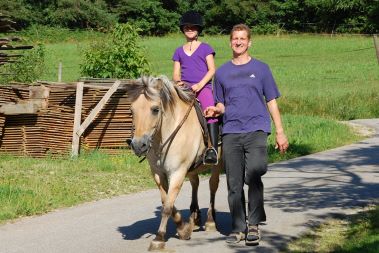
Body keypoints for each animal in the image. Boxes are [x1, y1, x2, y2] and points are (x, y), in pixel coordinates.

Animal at [127, 75, 223, 251]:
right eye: (132, 110)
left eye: (155, 109)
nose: (138, 145)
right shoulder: (158, 174)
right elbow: (166, 201)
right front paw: (183, 228)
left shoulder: (177, 172)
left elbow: (167, 206)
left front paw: (159, 238)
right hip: (192, 169)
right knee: (195, 183)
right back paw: (195, 217)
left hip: (217, 164)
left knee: (213, 185)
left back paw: (210, 220)